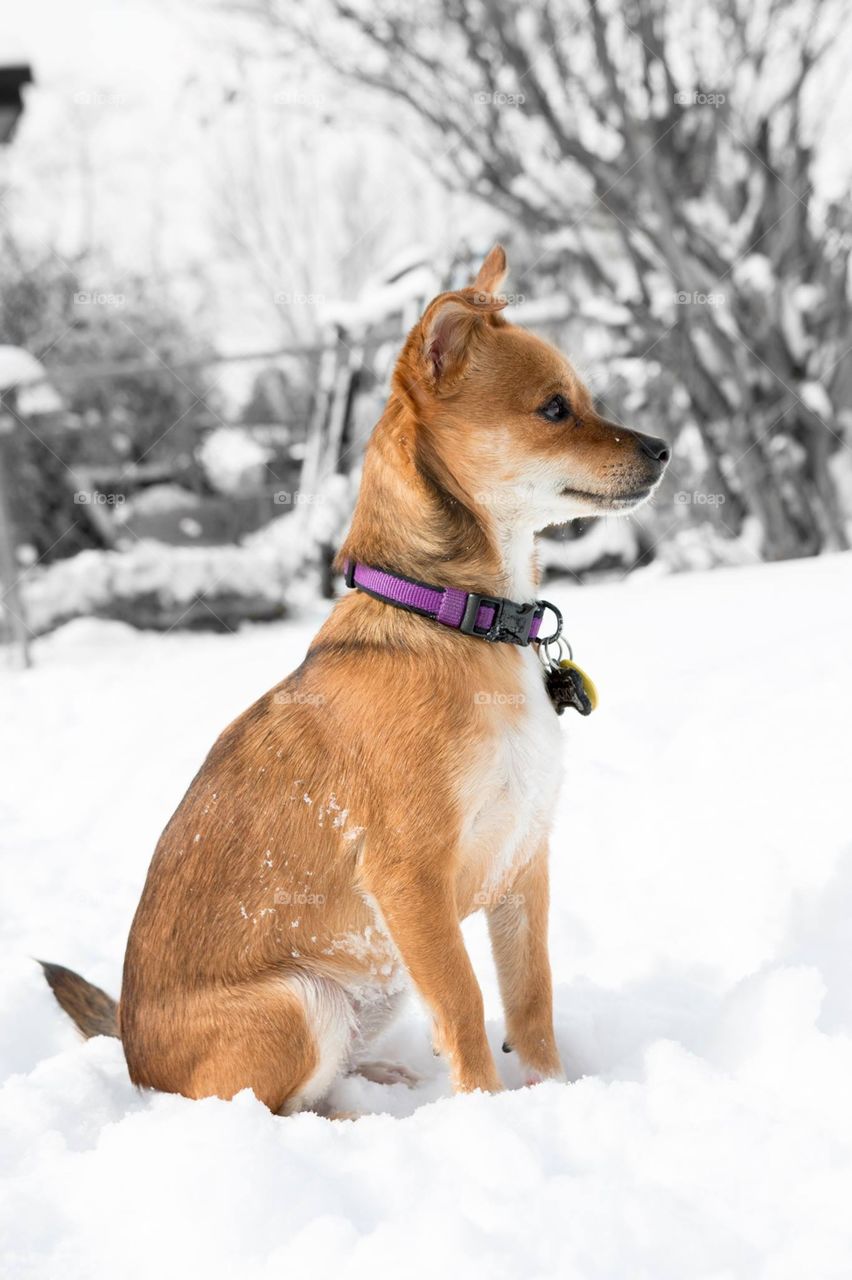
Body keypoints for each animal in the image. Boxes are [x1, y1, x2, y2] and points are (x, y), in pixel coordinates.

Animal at [43, 247, 665, 1111]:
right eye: (553, 409)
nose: (664, 449)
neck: (459, 619)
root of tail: (137, 1064)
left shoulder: (523, 866)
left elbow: (530, 1000)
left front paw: (554, 1098)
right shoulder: (411, 881)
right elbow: (466, 1004)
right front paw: (487, 1112)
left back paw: (382, 1079)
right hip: (305, 1002)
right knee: (277, 1106)